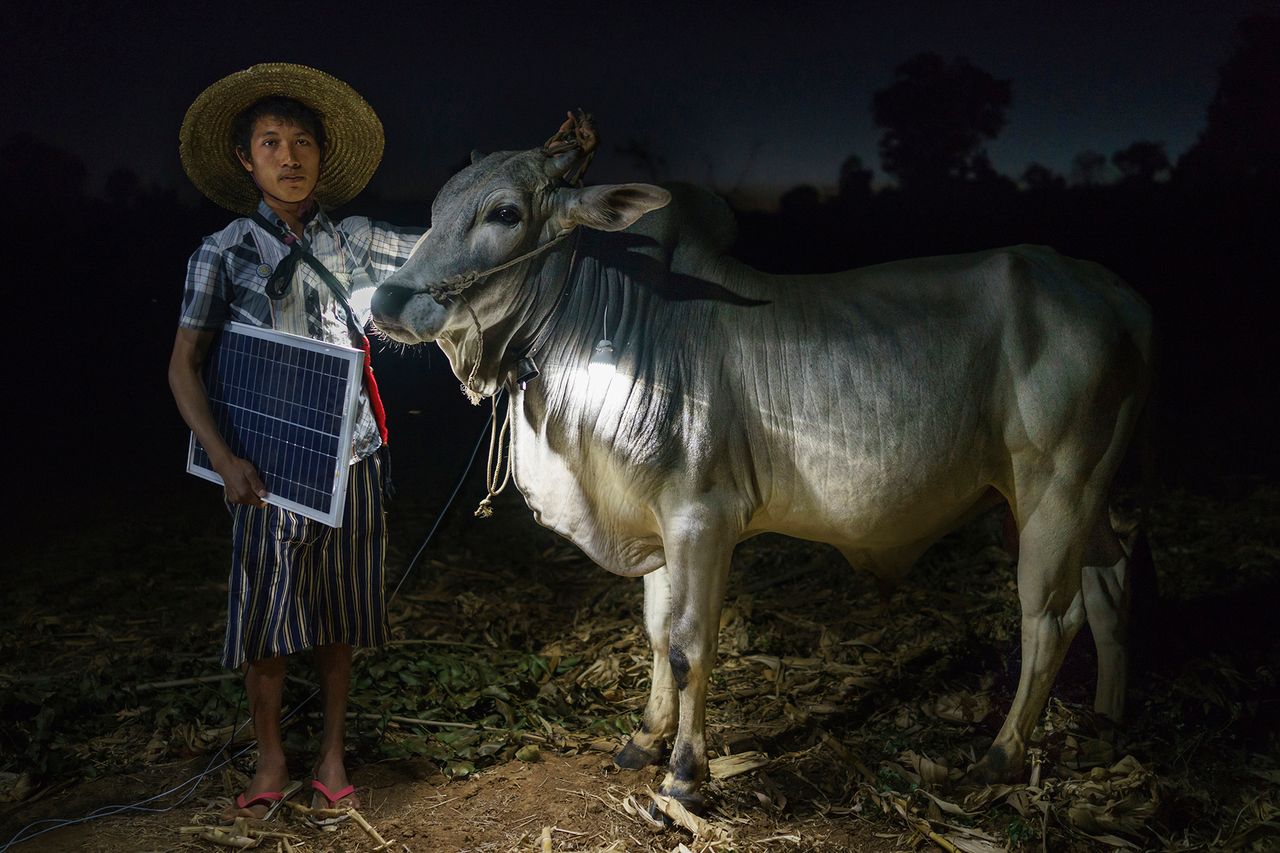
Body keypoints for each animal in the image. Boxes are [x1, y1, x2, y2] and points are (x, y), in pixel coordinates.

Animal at [368, 134, 1152, 804]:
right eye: (434, 210)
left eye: (504, 212)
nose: (388, 300)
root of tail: (1116, 294)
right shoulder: (657, 523)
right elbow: (655, 633)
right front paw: (643, 741)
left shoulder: (702, 517)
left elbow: (689, 645)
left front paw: (685, 774)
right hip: (1058, 498)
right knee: (1111, 580)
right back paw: (1110, 723)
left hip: (1056, 487)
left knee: (1050, 617)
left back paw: (1001, 754)